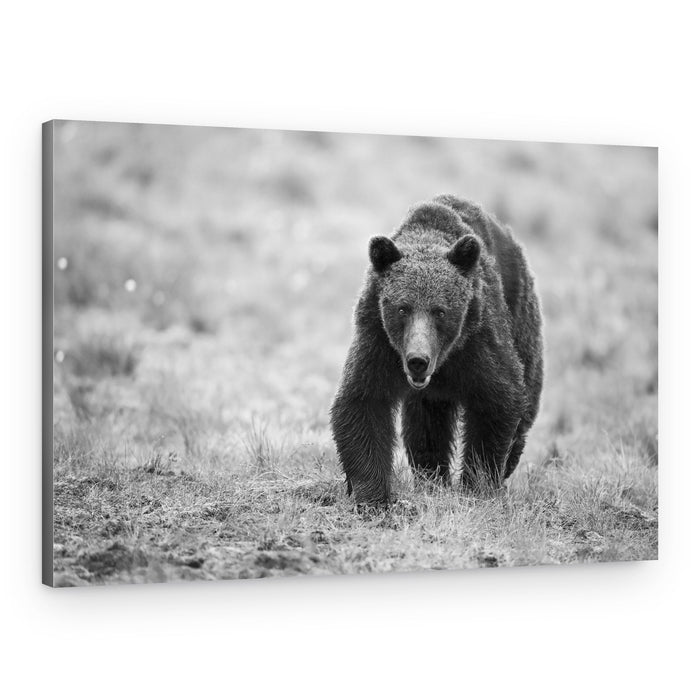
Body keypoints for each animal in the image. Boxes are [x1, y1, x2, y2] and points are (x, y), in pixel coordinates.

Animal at [330, 194, 544, 505]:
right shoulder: (377, 339)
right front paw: (373, 496)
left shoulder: (478, 337)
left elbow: (497, 399)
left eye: (440, 311)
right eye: (403, 308)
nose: (418, 360)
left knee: (526, 397)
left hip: (521, 316)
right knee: (425, 424)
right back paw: (431, 476)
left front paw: (478, 484)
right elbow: (363, 401)